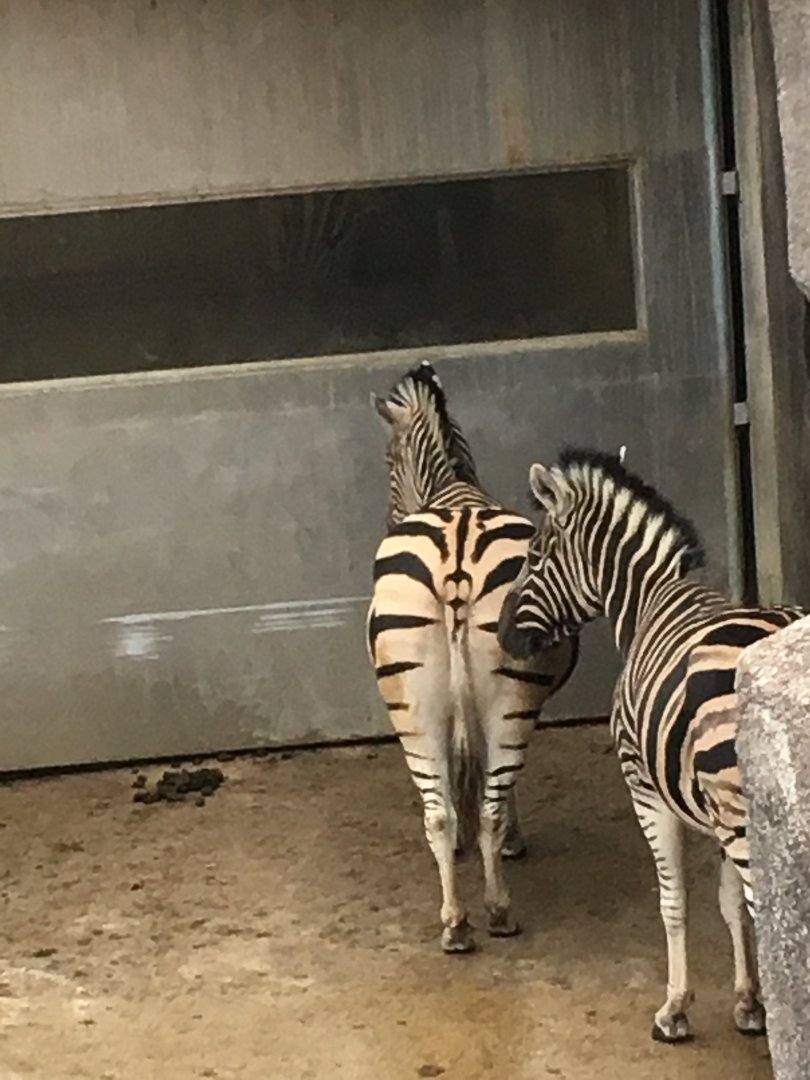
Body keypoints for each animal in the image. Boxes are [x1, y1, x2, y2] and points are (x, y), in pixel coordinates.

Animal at [367, 360, 578, 953]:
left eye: (387, 463)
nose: (388, 516)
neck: (453, 488)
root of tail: (456, 557)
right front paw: (512, 843)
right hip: (506, 697)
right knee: (485, 803)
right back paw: (495, 910)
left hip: (414, 700)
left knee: (438, 812)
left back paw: (458, 921)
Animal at [497, 447, 804, 1042]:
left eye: (535, 556)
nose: (503, 636)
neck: (647, 602)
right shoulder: (713, 811)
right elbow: (729, 904)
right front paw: (748, 1003)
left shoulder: (644, 786)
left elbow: (674, 899)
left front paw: (675, 1009)